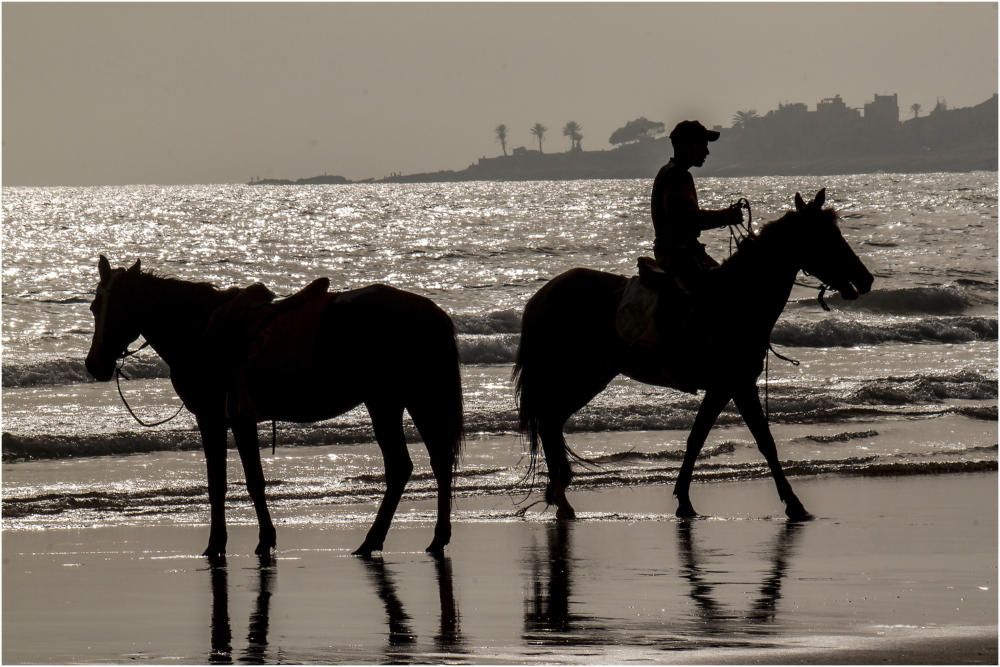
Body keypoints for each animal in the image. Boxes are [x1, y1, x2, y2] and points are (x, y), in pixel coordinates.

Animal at [84, 256, 462, 560]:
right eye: (94, 308)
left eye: (117, 307)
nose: (94, 364)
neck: (201, 331)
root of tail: (431, 313)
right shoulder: (231, 419)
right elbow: (237, 481)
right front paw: (245, 540)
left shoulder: (219, 417)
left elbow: (235, 482)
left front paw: (235, 543)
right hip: (396, 400)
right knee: (427, 464)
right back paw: (420, 539)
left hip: (395, 399)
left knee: (412, 465)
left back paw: (381, 540)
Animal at [516, 188, 876, 520]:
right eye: (826, 237)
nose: (866, 278)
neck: (738, 298)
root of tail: (542, 296)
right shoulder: (736, 385)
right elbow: (763, 441)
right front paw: (794, 504)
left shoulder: (724, 387)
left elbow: (697, 438)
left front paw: (684, 501)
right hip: (579, 375)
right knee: (550, 421)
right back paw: (561, 497)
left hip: (591, 376)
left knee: (552, 421)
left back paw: (561, 497)